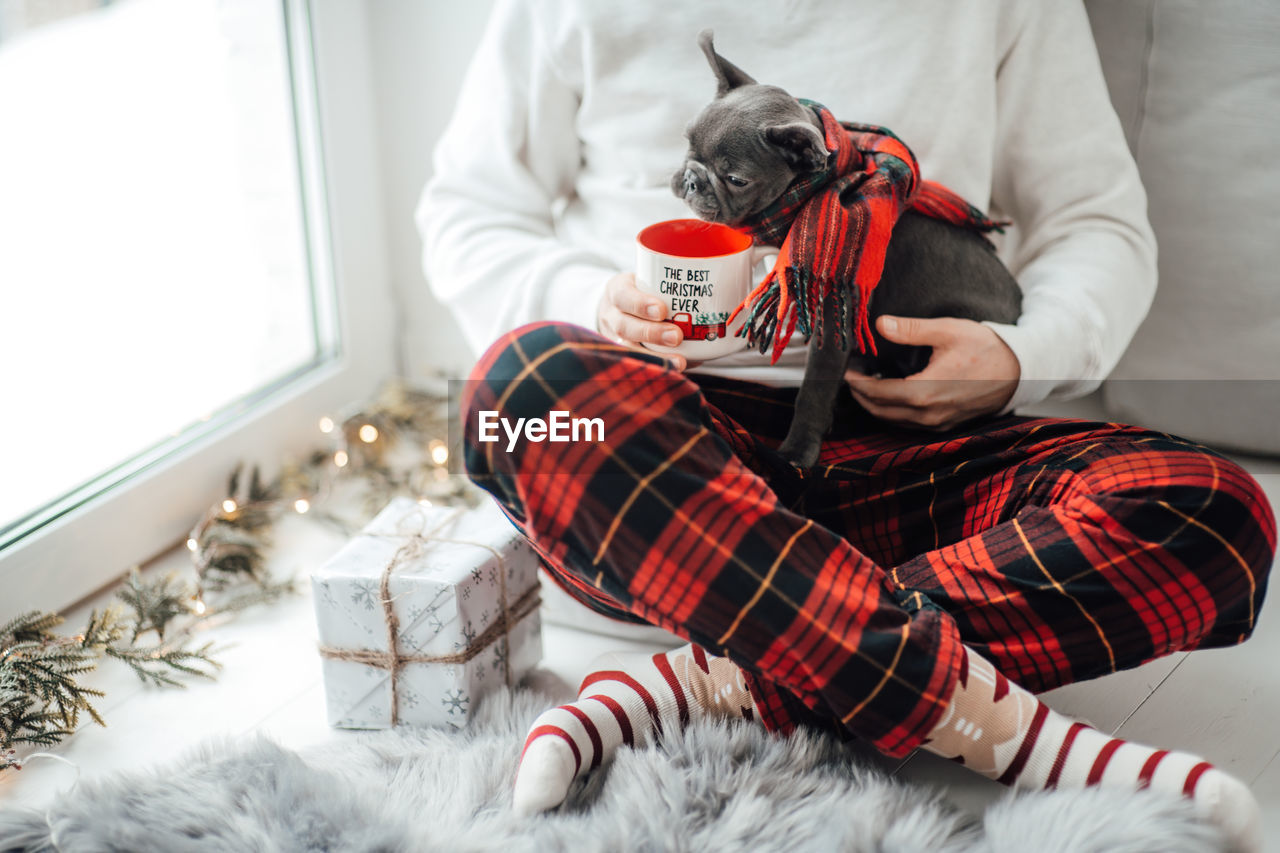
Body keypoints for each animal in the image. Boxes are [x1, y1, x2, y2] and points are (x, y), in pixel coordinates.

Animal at [670, 29, 1018, 466]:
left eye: (736, 180)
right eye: (686, 141)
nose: (692, 177)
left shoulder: (833, 312)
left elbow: (814, 390)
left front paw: (797, 452)